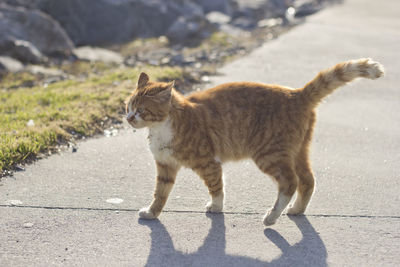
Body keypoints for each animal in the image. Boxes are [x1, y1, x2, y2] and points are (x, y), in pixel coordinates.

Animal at [126, 59, 384, 226]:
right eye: (128, 106)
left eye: (142, 110)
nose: (128, 118)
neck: (161, 127)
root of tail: (296, 94)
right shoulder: (166, 166)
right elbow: (160, 193)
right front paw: (152, 213)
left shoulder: (208, 163)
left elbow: (216, 187)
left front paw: (216, 207)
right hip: (298, 152)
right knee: (308, 181)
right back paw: (296, 210)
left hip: (268, 155)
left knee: (290, 183)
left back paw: (271, 217)